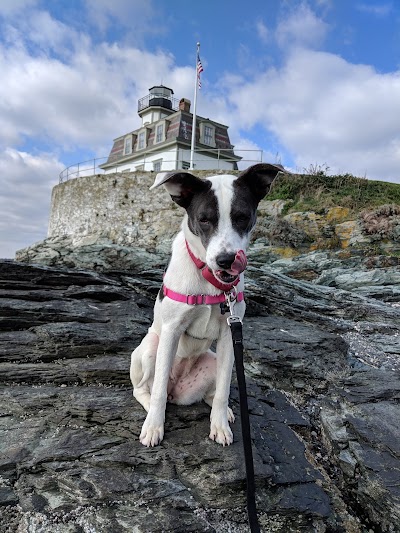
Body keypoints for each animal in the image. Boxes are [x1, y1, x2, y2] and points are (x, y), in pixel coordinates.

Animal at [130, 161, 282, 444]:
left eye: (242, 217)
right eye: (204, 219)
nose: (226, 260)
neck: (211, 281)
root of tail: (176, 389)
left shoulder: (229, 336)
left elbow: (223, 390)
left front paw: (219, 424)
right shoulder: (171, 330)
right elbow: (157, 391)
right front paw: (154, 426)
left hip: (211, 362)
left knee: (210, 392)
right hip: (150, 348)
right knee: (145, 389)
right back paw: (152, 411)